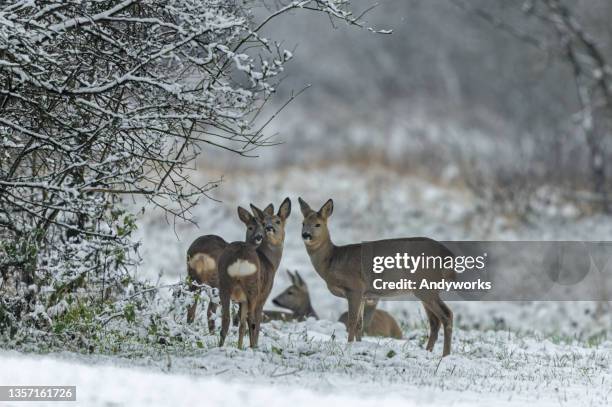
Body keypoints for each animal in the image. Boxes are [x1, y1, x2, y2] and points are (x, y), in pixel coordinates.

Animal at [218, 199, 292, 350]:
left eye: (278, 221)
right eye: (264, 223)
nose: (269, 228)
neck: (270, 261)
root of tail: (240, 257)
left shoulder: (241, 300)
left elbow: (241, 325)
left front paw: (239, 347)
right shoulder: (264, 295)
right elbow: (255, 322)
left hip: (224, 283)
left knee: (226, 318)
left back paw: (220, 347)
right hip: (253, 288)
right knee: (252, 320)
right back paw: (253, 347)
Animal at [296, 198, 454, 356]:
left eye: (318, 224)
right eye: (303, 223)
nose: (306, 235)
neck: (332, 260)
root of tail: (447, 254)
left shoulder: (355, 287)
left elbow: (352, 321)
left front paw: (348, 347)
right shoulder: (364, 295)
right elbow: (360, 323)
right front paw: (358, 345)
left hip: (425, 286)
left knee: (447, 315)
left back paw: (445, 354)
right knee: (435, 321)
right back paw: (429, 352)